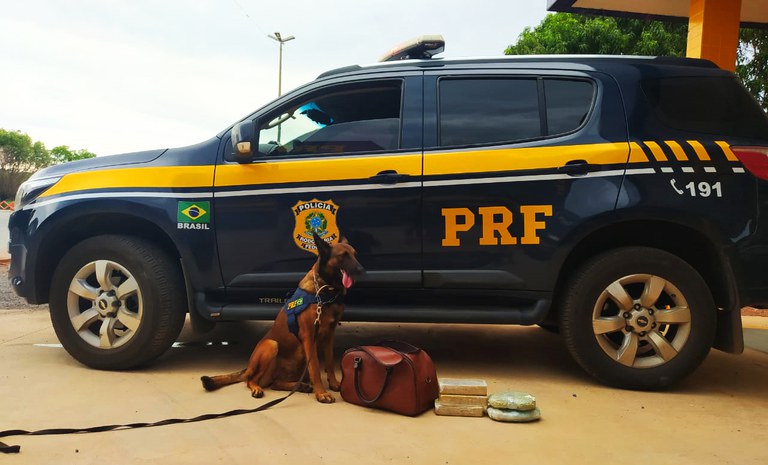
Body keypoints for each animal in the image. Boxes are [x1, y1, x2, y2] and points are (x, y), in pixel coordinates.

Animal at [201, 232, 364, 402]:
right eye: (343, 256)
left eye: (355, 255)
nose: (362, 270)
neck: (326, 290)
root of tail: (248, 368)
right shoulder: (309, 337)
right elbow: (315, 368)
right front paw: (321, 393)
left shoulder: (329, 335)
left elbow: (330, 363)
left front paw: (334, 384)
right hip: (271, 345)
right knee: (251, 380)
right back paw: (257, 388)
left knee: (275, 383)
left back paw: (301, 386)